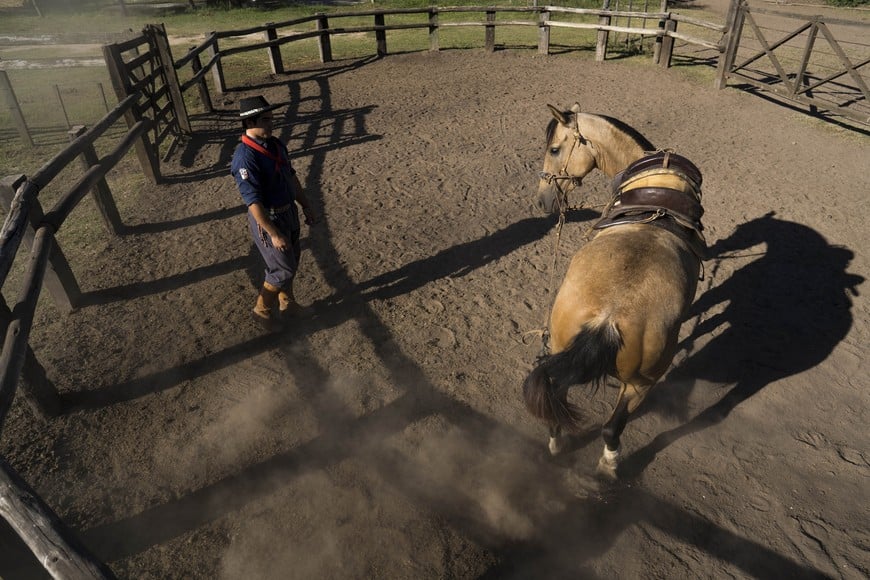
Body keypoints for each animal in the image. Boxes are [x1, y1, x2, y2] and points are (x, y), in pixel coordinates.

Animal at [523, 103, 706, 479]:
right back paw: (609, 466)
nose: (542, 199)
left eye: (554, 149)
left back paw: (557, 445)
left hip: (564, 351)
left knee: (558, 402)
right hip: (643, 383)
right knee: (612, 427)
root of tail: (608, 318)